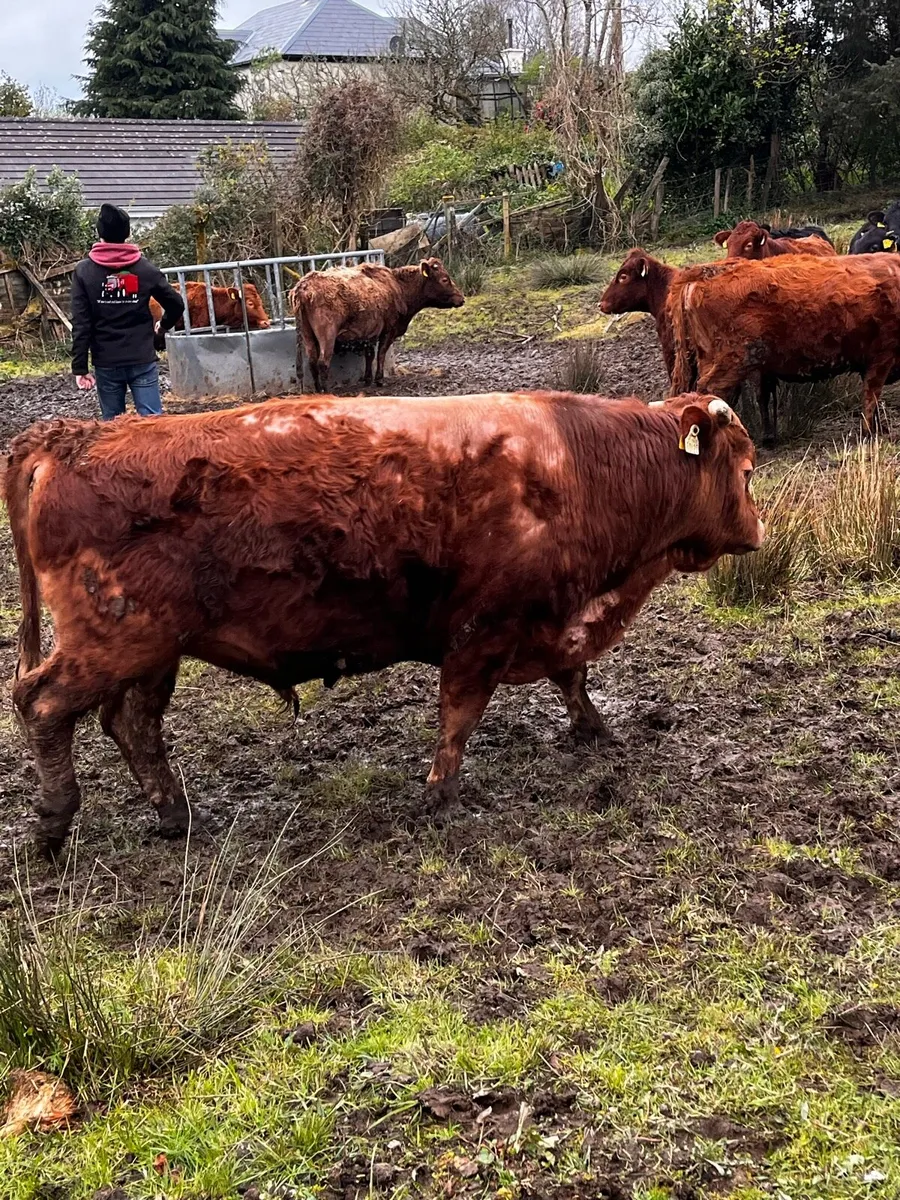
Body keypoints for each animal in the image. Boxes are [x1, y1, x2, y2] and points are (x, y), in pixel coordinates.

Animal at [6, 390, 763, 857]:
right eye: (750, 469)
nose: (758, 531)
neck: (578, 463)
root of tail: (73, 437)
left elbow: (572, 678)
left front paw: (595, 730)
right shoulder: (483, 631)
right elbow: (459, 715)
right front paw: (439, 795)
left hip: (153, 651)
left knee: (132, 725)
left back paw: (176, 815)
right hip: (114, 642)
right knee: (42, 704)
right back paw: (54, 821)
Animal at [290, 258, 464, 392]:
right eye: (445, 279)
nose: (461, 298)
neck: (397, 287)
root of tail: (303, 287)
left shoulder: (370, 332)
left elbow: (369, 355)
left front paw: (367, 379)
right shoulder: (388, 330)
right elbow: (381, 353)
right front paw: (379, 379)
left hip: (308, 335)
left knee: (312, 362)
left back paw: (318, 389)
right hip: (327, 336)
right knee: (322, 363)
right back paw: (326, 391)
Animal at [669, 254, 900, 435]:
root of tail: (707, 271)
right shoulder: (883, 355)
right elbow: (871, 395)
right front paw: (869, 433)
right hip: (731, 362)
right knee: (710, 392)